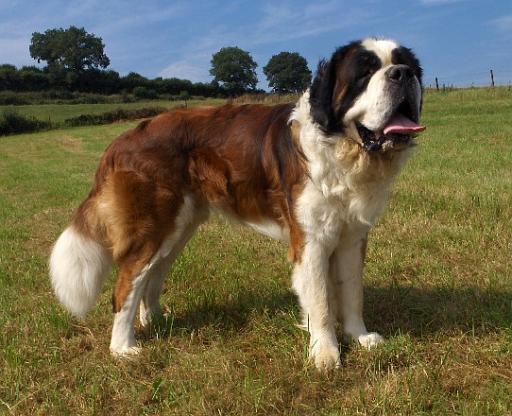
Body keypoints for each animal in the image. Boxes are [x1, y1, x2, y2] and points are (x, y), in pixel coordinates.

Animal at [50, 37, 425, 371]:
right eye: (365, 72)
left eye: (402, 62)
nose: (402, 74)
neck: (342, 147)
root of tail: (123, 138)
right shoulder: (311, 240)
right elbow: (320, 300)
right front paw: (325, 353)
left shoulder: (351, 236)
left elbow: (352, 292)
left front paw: (359, 337)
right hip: (152, 226)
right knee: (126, 284)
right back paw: (123, 348)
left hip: (177, 228)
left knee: (151, 276)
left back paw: (154, 320)